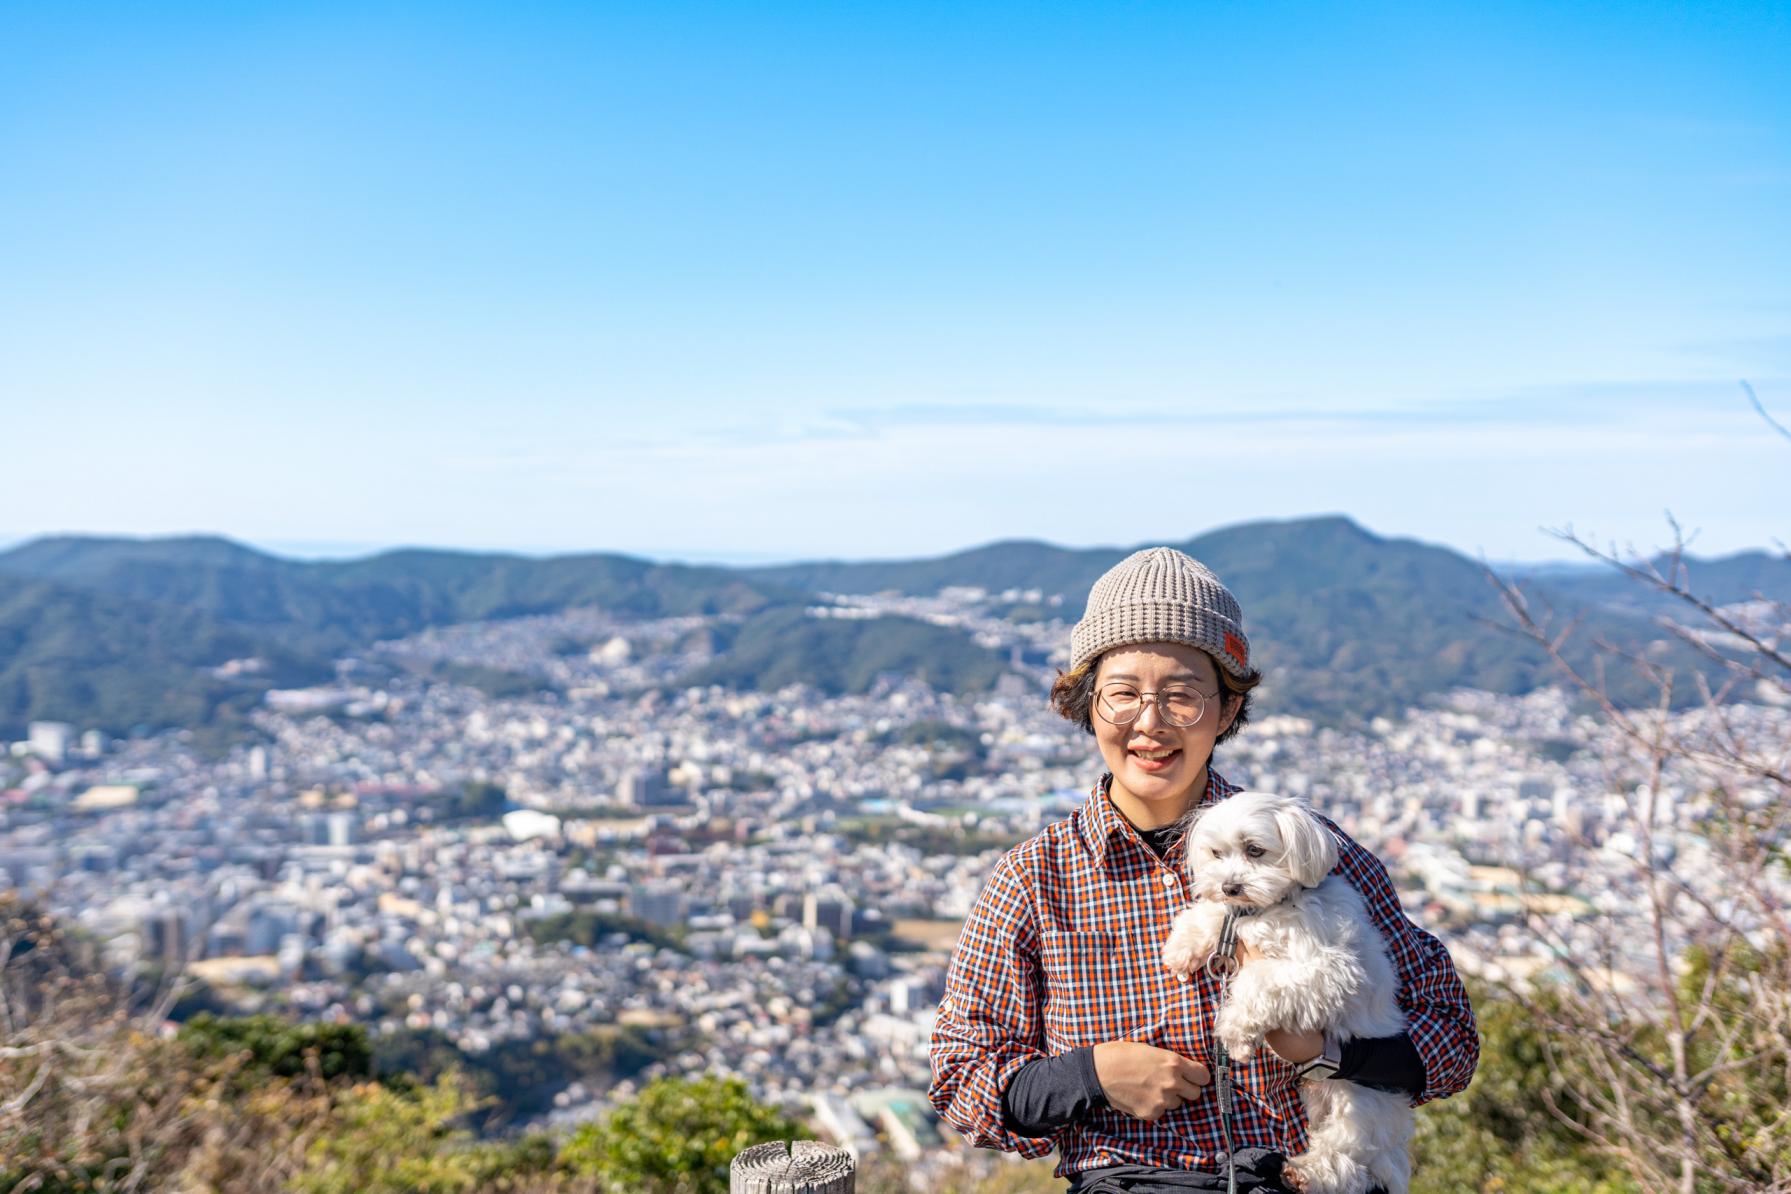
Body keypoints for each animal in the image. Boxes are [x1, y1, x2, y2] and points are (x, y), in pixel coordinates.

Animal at [1160, 794, 1411, 1194]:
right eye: (1216, 853)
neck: (1274, 906)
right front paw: (1183, 948)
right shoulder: (1236, 918)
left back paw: (1304, 1173)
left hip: (1358, 1103)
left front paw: (1236, 1035)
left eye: (1255, 850)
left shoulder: (1329, 971)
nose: (1229, 887)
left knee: (1344, 1159)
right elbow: (1213, 914)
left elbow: (1257, 981)